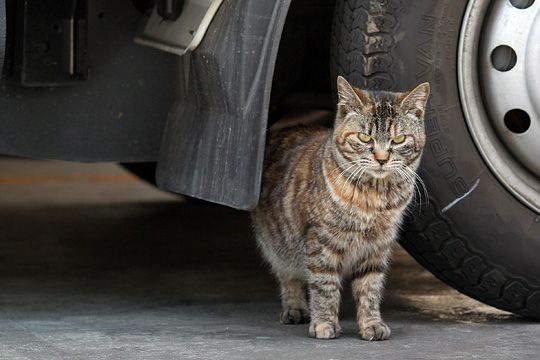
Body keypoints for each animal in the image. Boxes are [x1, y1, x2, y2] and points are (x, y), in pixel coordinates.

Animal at [252, 76, 430, 340]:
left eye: (399, 140)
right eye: (365, 138)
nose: (381, 158)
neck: (375, 197)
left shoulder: (377, 246)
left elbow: (370, 288)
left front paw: (371, 323)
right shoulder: (321, 243)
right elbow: (324, 286)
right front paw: (324, 323)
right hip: (277, 246)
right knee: (289, 277)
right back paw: (296, 308)